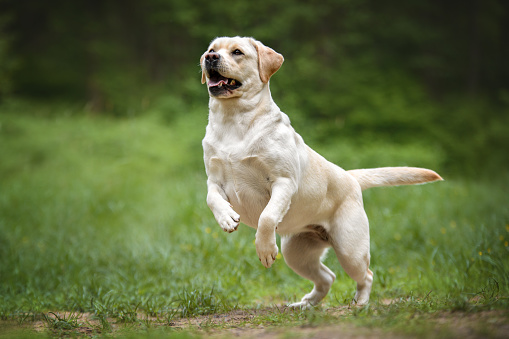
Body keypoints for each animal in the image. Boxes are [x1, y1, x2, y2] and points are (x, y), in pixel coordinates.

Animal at [198, 36, 440, 308]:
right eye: (211, 50)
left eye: (237, 52)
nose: (210, 58)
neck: (232, 120)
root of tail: (350, 176)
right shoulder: (214, 181)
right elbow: (211, 199)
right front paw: (227, 218)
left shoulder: (283, 181)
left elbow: (267, 217)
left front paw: (265, 250)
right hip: (297, 253)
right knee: (327, 277)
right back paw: (305, 305)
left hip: (349, 249)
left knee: (366, 274)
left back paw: (360, 303)